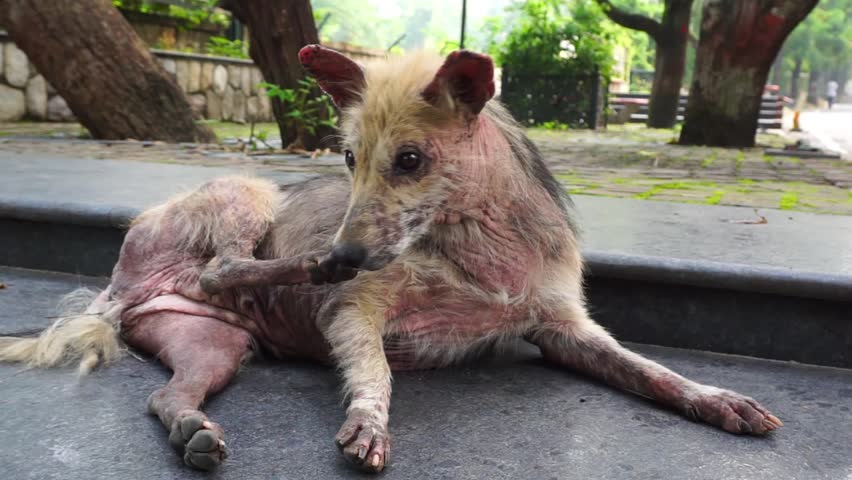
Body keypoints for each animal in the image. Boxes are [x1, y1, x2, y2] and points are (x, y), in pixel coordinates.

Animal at [0, 47, 780, 474]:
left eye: (410, 160)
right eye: (348, 159)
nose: (347, 253)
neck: (476, 243)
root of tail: (121, 284)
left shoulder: (562, 328)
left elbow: (648, 369)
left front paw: (716, 399)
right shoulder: (357, 309)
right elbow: (374, 369)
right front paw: (369, 423)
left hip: (213, 345)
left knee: (164, 395)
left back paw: (193, 430)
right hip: (246, 195)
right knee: (224, 267)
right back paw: (301, 270)